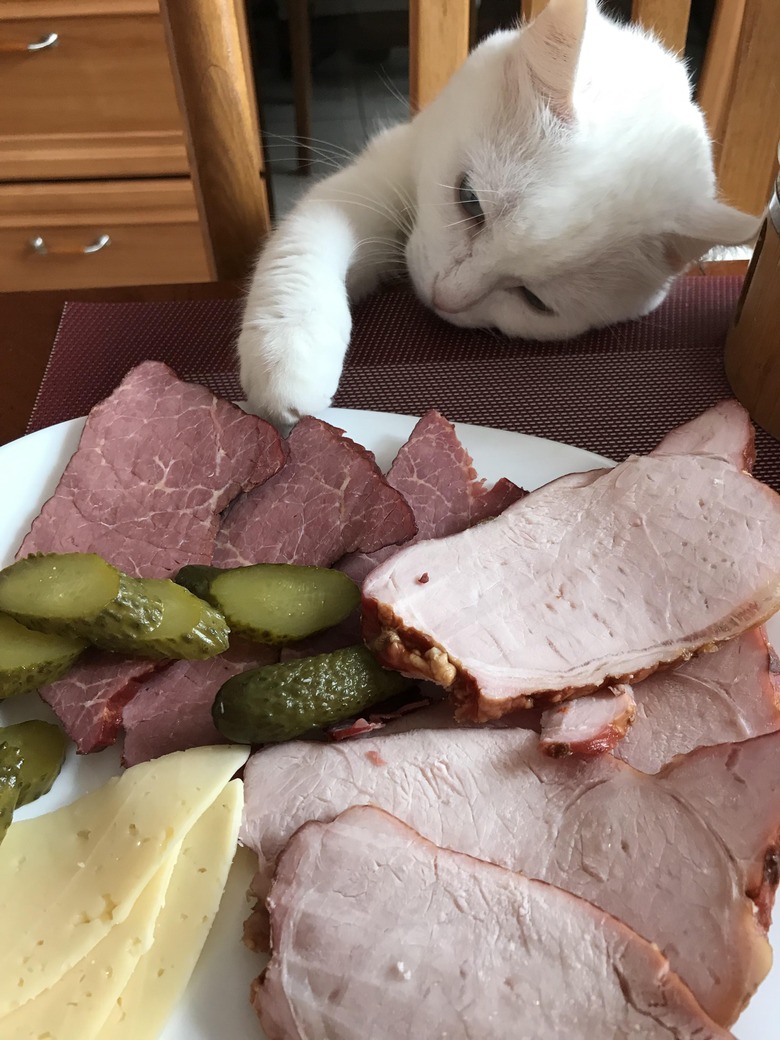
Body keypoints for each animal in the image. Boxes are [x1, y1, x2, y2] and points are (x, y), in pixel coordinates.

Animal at [240, 0, 765, 426]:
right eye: (470, 202)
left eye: (534, 301)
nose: (445, 297)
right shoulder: (385, 169)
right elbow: (306, 243)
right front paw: (288, 355)